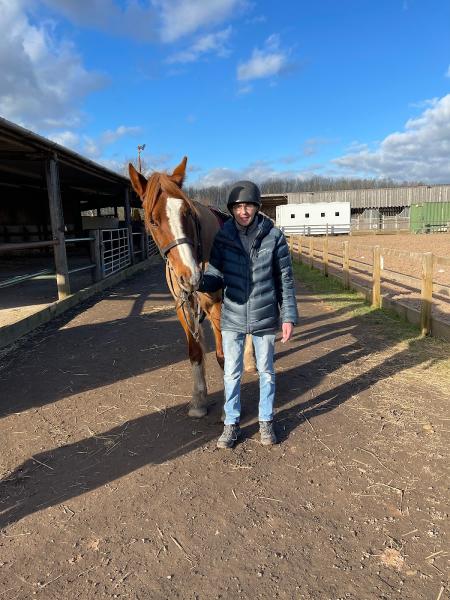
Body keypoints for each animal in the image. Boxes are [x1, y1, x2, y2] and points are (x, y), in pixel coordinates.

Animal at [130, 156, 255, 418]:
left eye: (187, 213)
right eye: (152, 220)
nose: (190, 275)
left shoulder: (217, 305)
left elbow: (222, 355)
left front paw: (228, 407)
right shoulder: (183, 307)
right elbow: (195, 353)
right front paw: (198, 401)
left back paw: (249, 361)